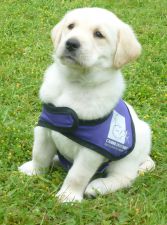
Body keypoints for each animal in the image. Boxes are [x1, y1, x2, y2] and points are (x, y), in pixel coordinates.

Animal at [18, 7, 155, 203]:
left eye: (99, 34)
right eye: (71, 26)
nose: (71, 43)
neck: (75, 83)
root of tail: (144, 156)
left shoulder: (91, 151)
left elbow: (77, 174)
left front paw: (68, 196)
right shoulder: (44, 129)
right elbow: (40, 154)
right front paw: (34, 171)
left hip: (128, 157)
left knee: (125, 177)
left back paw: (97, 187)